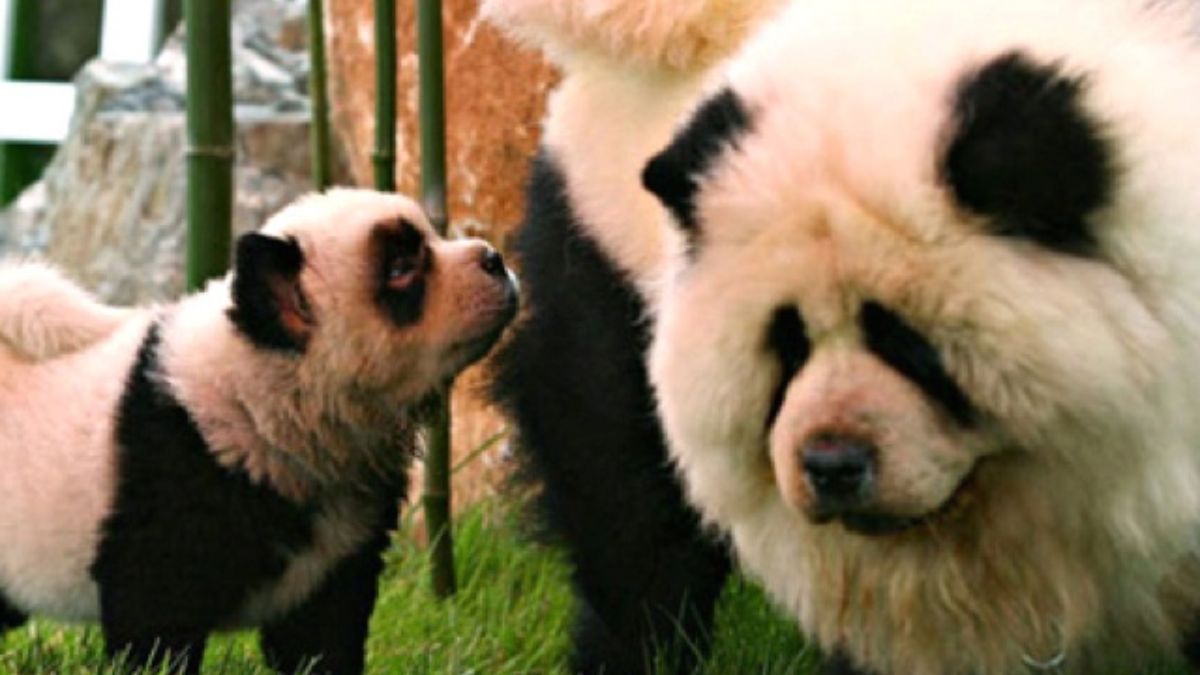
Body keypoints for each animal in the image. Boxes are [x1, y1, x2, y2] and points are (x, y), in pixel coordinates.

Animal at [0, 189, 518, 674]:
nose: (495, 259)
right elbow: (154, 629)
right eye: (401, 267)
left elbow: (320, 638)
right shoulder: (178, 479)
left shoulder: (338, 551)